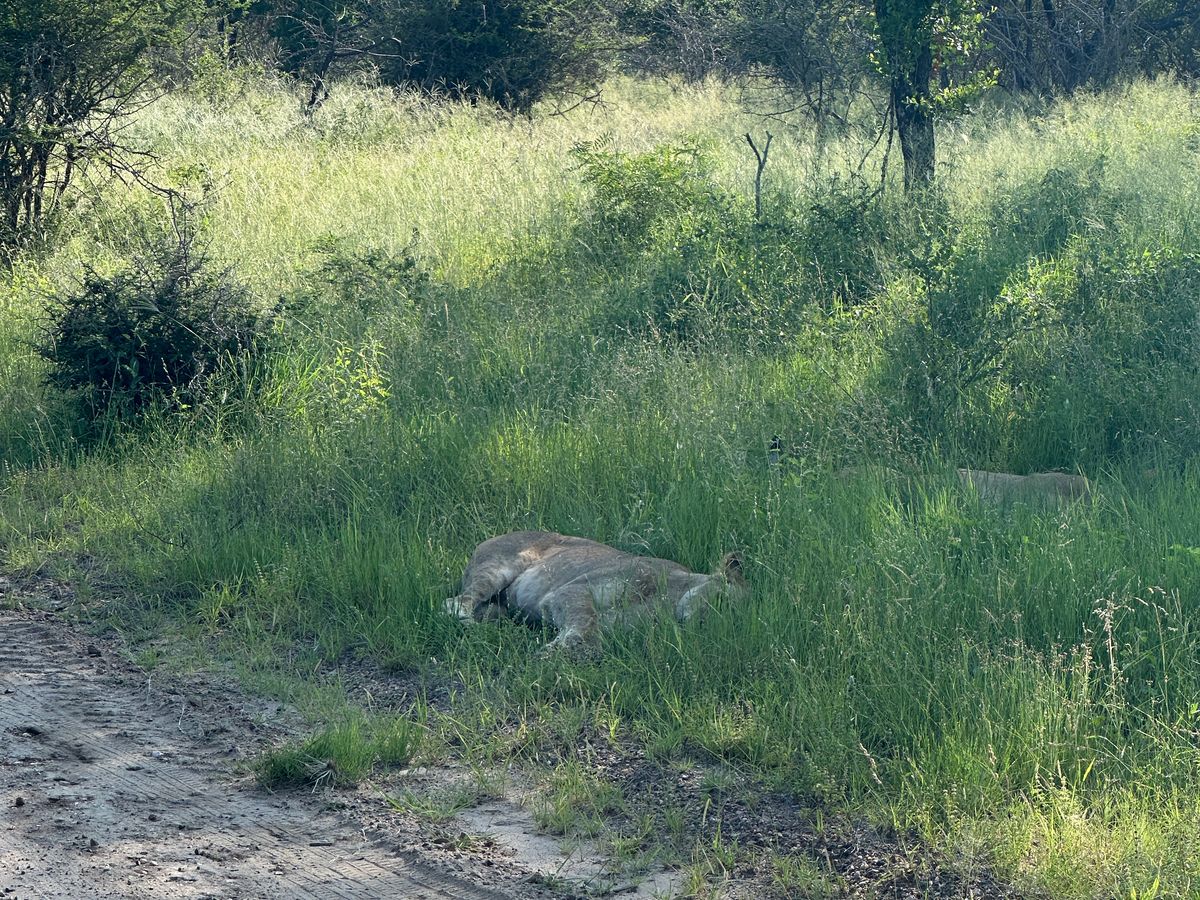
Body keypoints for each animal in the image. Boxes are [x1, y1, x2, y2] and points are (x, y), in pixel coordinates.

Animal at [445, 531, 748, 653]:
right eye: (722, 603)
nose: (712, 630)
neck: (669, 603)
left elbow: (591, 635)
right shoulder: (573, 589)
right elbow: (585, 622)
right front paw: (554, 653)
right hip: (497, 569)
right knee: (454, 603)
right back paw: (478, 630)